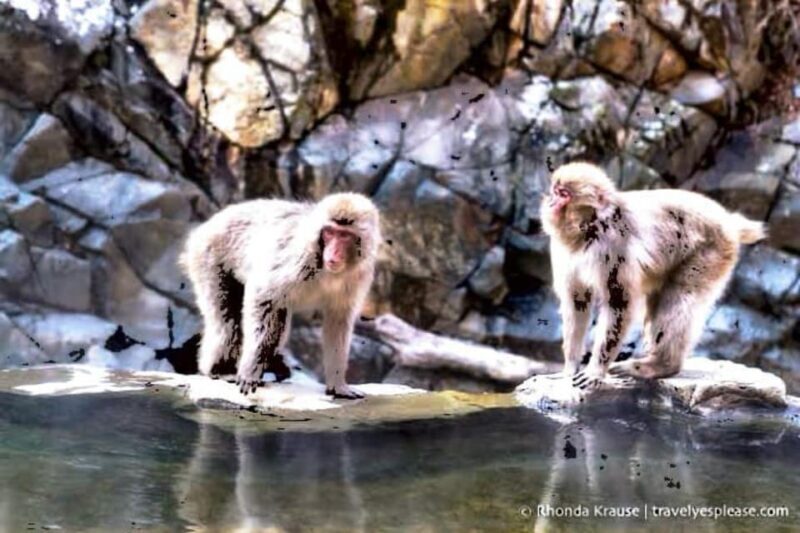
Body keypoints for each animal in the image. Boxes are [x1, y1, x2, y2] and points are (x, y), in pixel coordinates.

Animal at [180, 193, 381, 398]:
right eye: (330, 233)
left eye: (345, 235)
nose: (332, 253)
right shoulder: (300, 259)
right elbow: (263, 294)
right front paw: (250, 371)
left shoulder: (359, 276)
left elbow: (338, 321)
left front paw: (338, 385)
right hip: (209, 258)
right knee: (228, 322)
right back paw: (220, 370)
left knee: (278, 326)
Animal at [541, 162, 765, 392]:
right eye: (555, 191)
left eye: (564, 194)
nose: (550, 202)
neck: (590, 229)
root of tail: (727, 220)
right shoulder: (564, 251)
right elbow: (577, 302)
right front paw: (570, 367)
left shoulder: (612, 246)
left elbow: (619, 303)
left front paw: (595, 371)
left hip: (711, 252)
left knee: (682, 297)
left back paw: (661, 365)